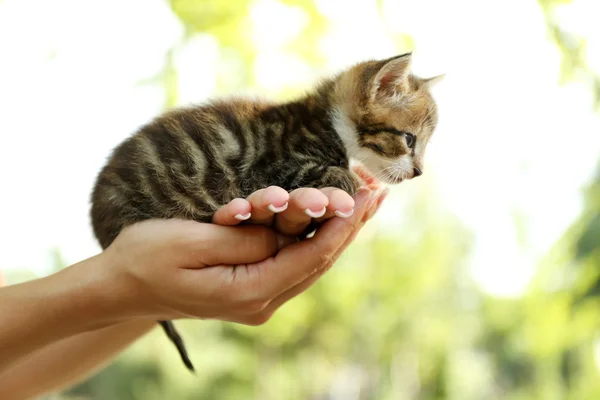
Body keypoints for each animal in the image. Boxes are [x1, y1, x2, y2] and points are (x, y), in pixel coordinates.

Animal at [91, 52, 442, 372]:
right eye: (409, 139)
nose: (419, 173)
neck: (327, 122)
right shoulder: (274, 169)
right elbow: (339, 177)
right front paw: (350, 179)